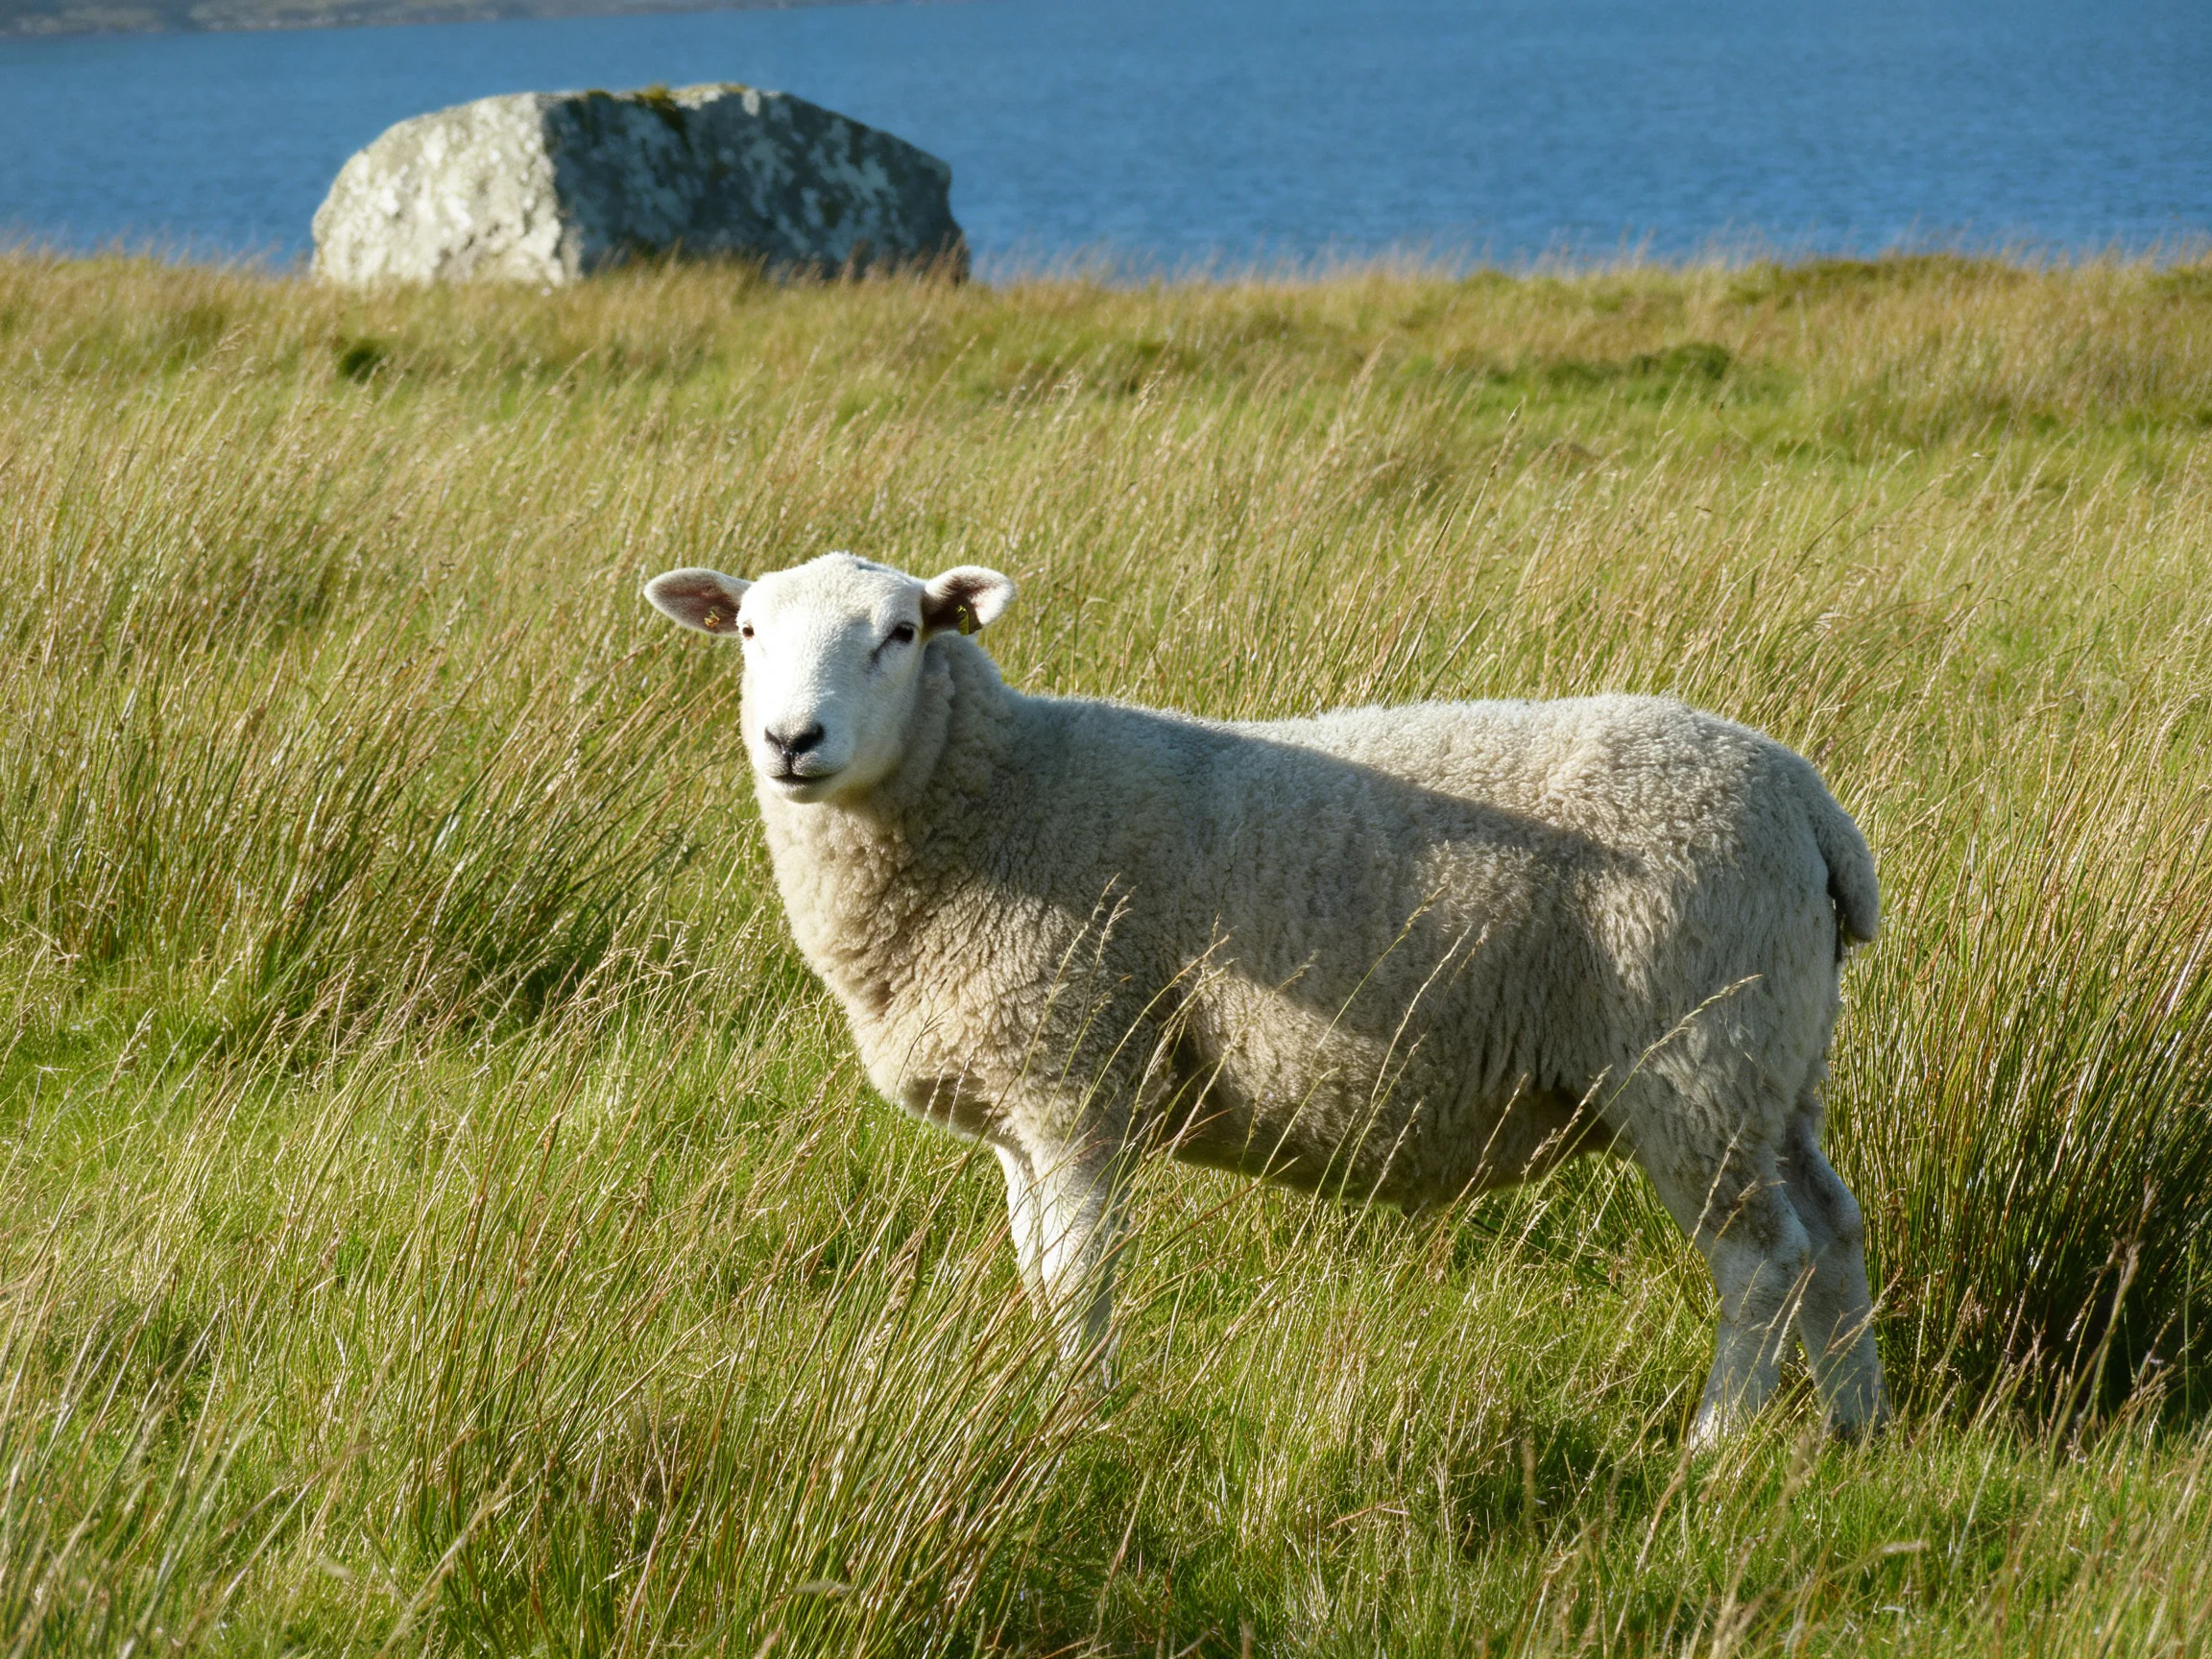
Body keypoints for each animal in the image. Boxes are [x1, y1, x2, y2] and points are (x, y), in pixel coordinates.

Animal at [644, 551, 1889, 1447]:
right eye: (748, 633)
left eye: (901, 634)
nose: (792, 739)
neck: (997, 794)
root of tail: (1807, 803)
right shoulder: (1018, 1110)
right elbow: (1036, 1274)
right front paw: (1053, 1399)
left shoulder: (1077, 1076)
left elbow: (1078, 1279)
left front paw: (1080, 1422)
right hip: (1775, 1061)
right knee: (1831, 1230)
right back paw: (1854, 1428)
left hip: (1694, 1052)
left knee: (1761, 1262)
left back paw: (1714, 1448)